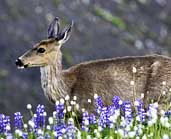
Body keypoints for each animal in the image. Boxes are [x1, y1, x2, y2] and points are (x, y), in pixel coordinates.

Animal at [16, 17, 171, 113]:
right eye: (33, 44)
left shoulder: (90, 107)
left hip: (158, 98)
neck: (66, 89)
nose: (19, 61)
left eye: (41, 49)